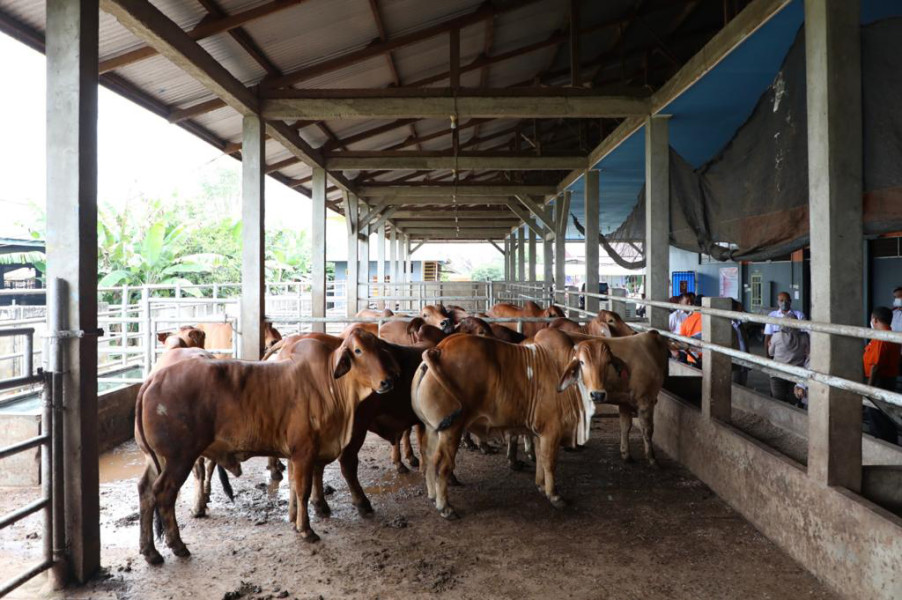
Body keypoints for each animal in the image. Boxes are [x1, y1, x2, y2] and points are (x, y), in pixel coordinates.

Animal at [133, 328, 400, 564]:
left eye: (379, 349)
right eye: (358, 350)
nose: (387, 381)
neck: (328, 384)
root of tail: (152, 380)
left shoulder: (296, 454)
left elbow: (294, 487)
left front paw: (294, 520)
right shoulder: (304, 452)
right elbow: (303, 490)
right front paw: (306, 529)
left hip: (156, 459)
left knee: (146, 491)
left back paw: (150, 552)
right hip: (179, 458)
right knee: (163, 493)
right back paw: (178, 545)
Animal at [414, 326, 604, 516]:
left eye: (606, 363)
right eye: (582, 363)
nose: (598, 394)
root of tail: (439, 349)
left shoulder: (539, 431)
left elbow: (540, 458)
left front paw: (541, 486)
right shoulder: (552, 430)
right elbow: (550, 462)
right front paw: (554, 496)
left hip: (432, 428)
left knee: (428, 457)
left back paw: (432, 496)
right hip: (451, 430)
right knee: (442, 465)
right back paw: (445, 506)